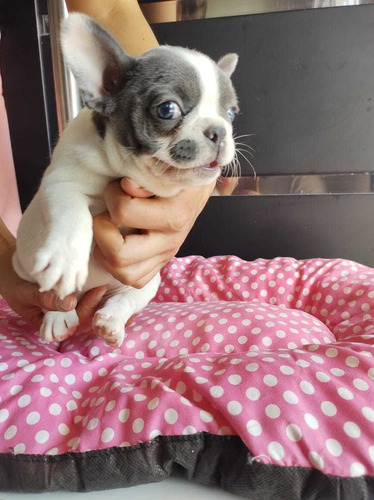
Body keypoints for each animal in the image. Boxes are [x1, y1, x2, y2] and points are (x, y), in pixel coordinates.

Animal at [13, 12, 240, 348]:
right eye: (167, 109)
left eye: (231, 113)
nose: (219, 130)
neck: (122, 169)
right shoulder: (63, 182)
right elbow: (73, 214)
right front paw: (66, 260)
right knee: (55, 296)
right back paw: (58, 314)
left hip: (148, 281)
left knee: (126, 298)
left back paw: (110, 321)